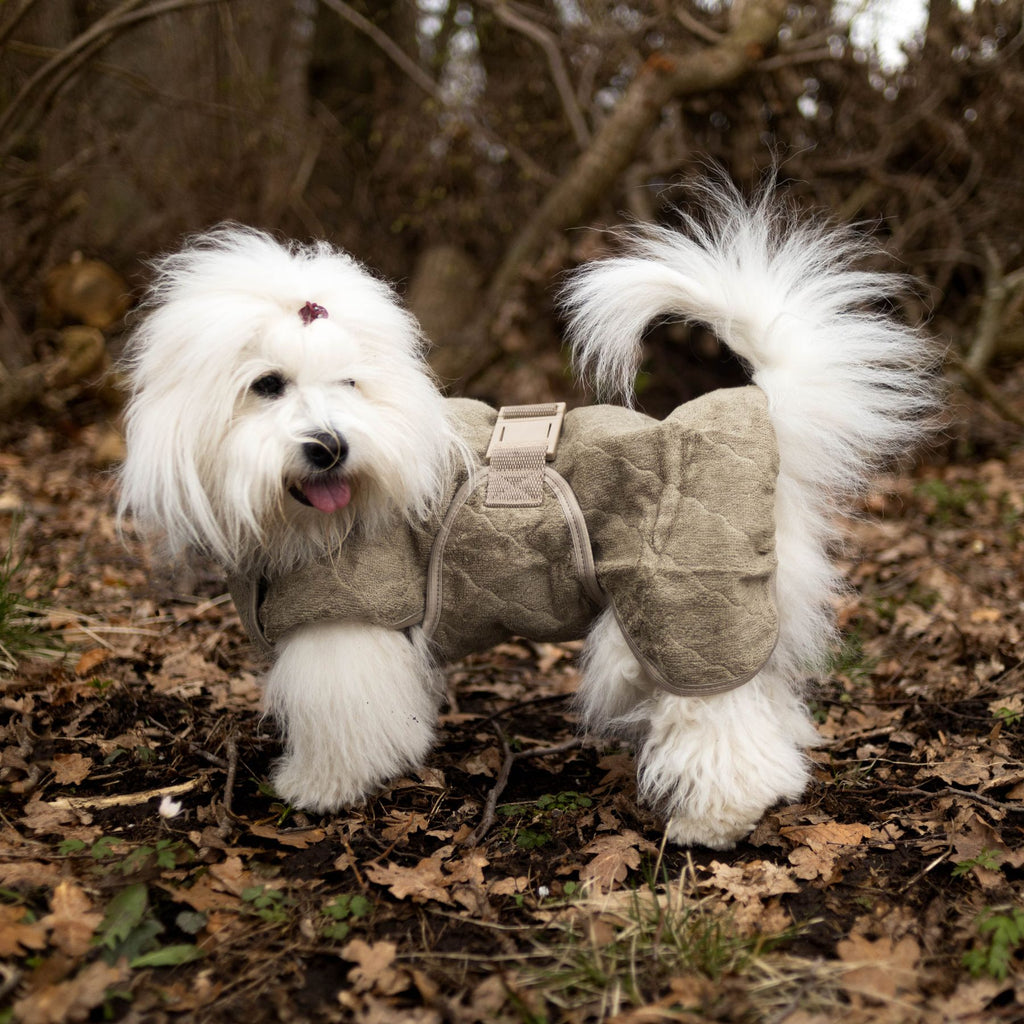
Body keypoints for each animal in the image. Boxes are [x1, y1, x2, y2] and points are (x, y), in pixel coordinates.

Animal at [119, 182, 937, 847]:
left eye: (347, 383)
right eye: (267, 385)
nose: (331, 446)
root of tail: (762, 412)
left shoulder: (345, 629)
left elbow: (341, 726)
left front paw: (316, 789)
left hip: (685, 611)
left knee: (722, 723)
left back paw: (714, 821)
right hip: (739, 611)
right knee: (763, 699)